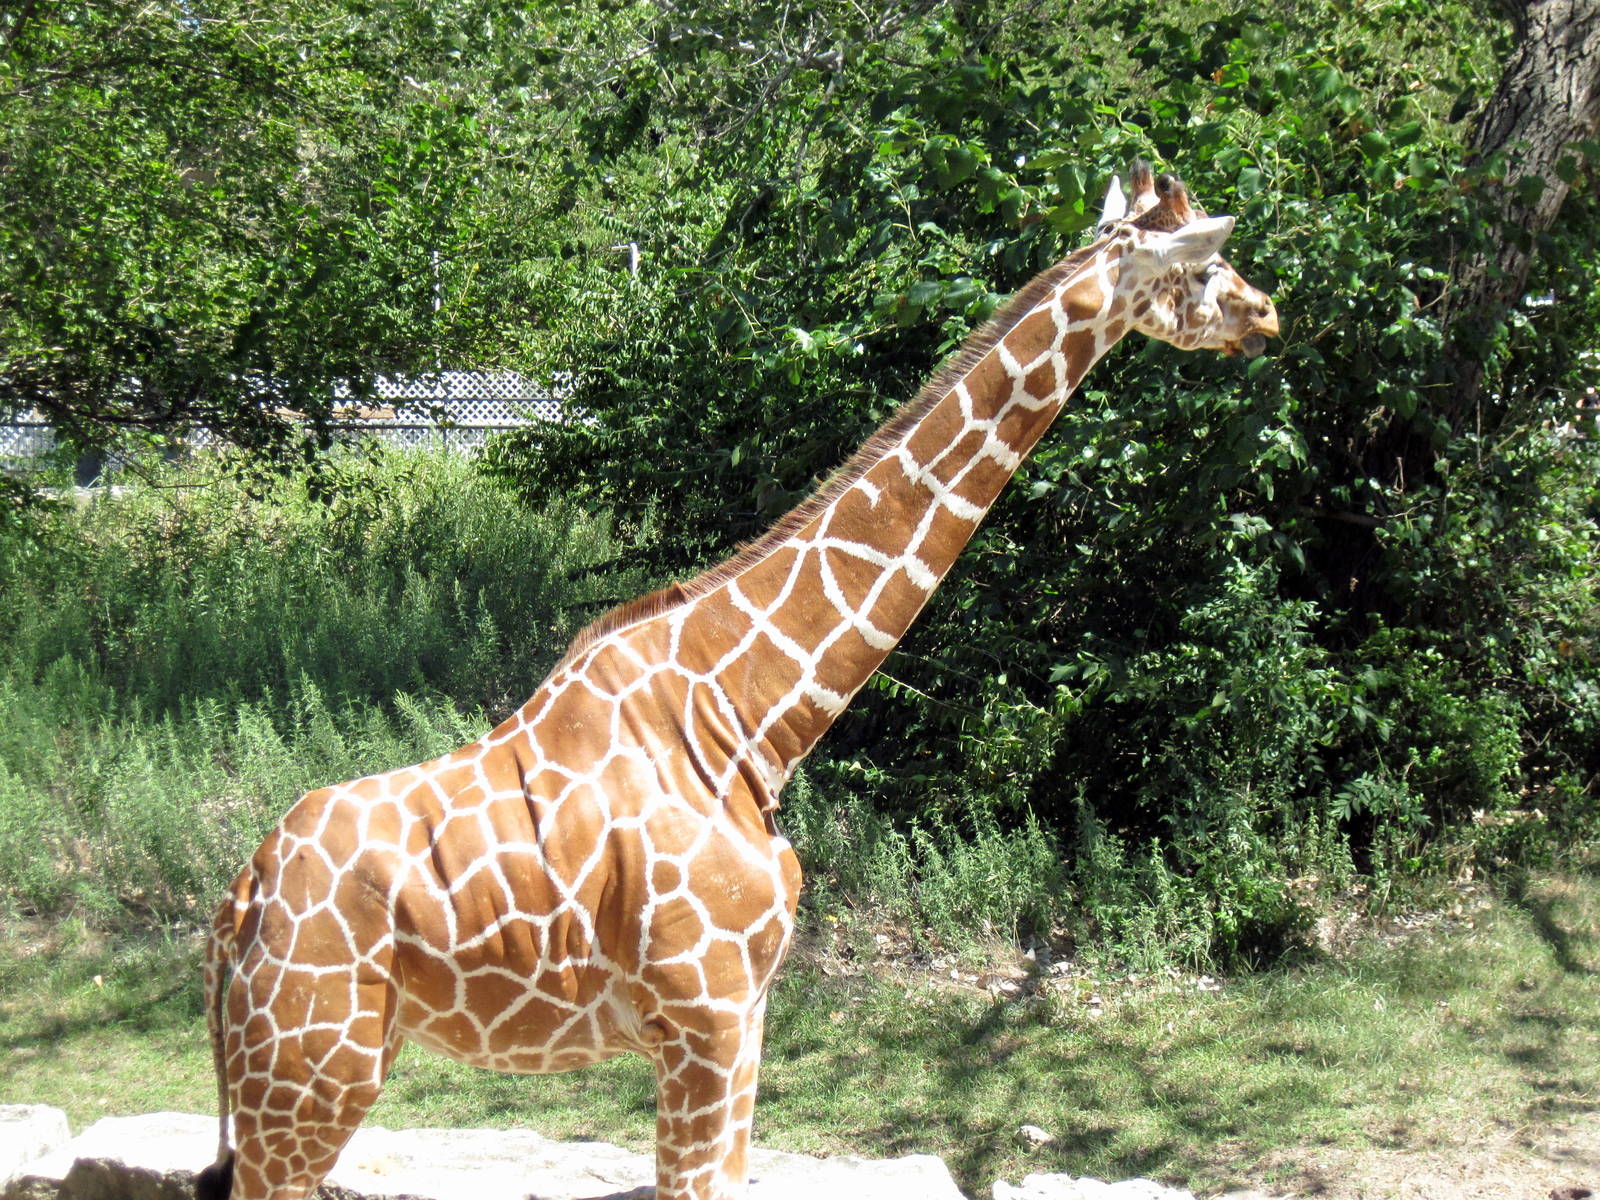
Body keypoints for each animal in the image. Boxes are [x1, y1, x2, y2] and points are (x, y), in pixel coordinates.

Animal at [197, 162, 1278, 1200]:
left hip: (308, 1069)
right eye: (1203, 266)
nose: (1266, 313)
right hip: (312, 1072)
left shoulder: (748, 1013)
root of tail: (239, 900)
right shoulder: (703, 1013)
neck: (752, 718)